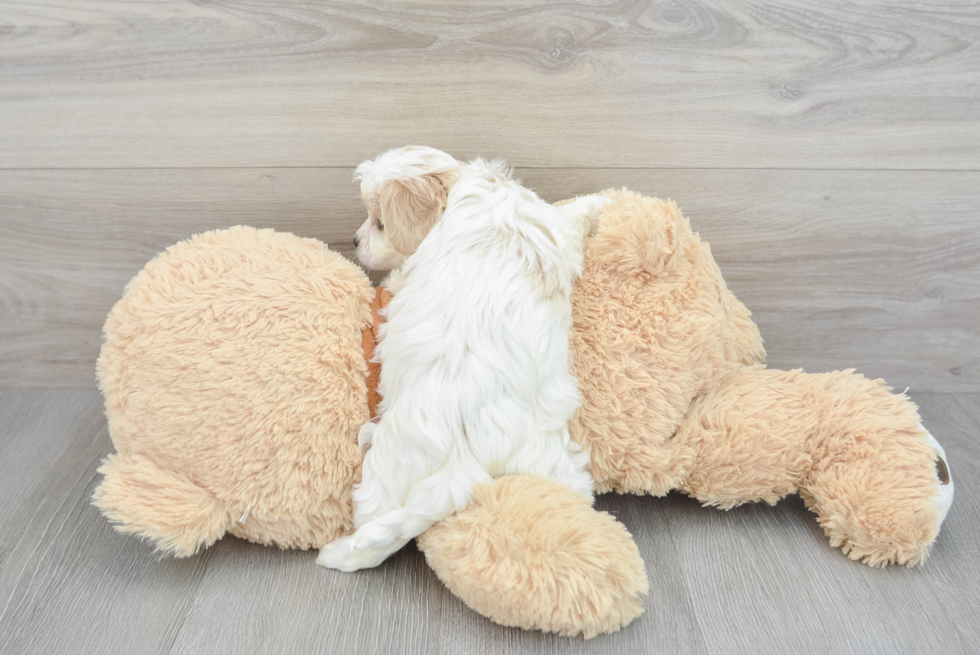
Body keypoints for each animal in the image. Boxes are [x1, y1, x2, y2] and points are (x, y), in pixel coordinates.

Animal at [318, 146, 608, 572]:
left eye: (380, 223)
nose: (354, 240)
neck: (463, 188)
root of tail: (467, 467)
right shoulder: (548, 223)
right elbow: (568, 218)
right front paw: (599, 202)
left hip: (385, 472)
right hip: (555, 464)